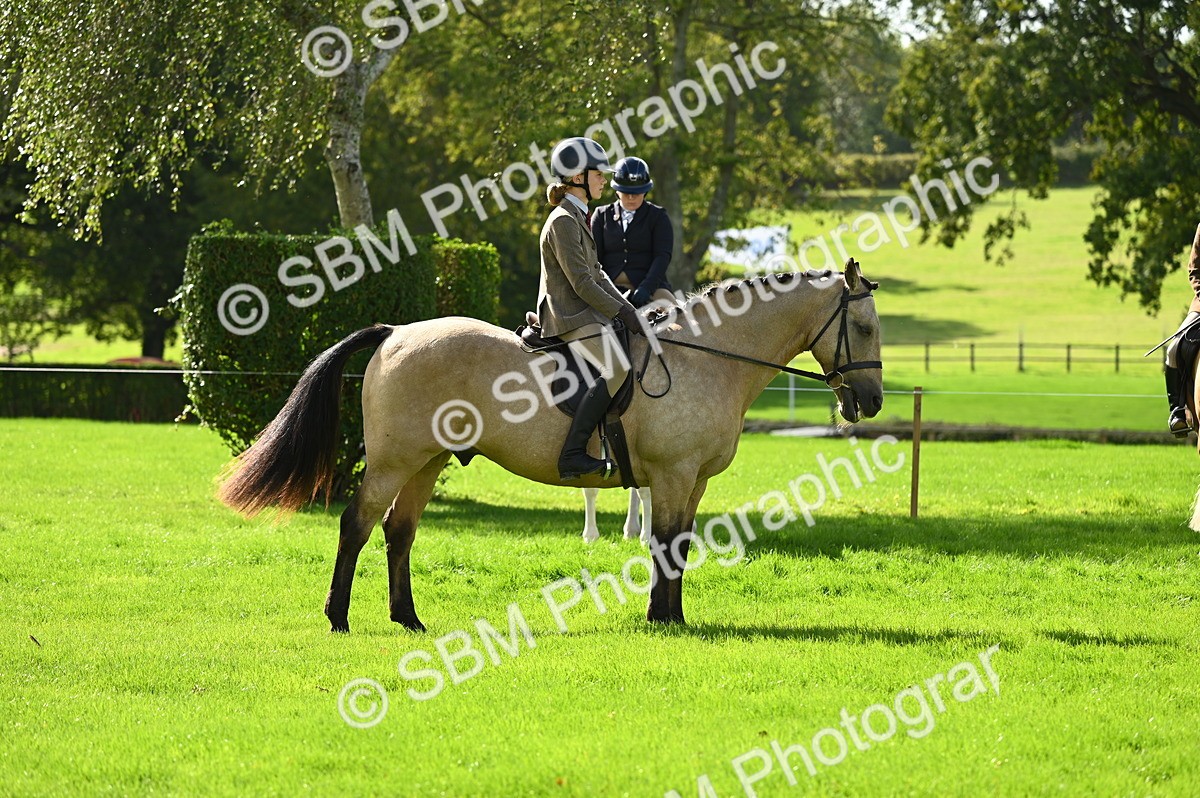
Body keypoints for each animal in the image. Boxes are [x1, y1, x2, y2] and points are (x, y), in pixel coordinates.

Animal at [216, 260, 885, 631]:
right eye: (864, 326)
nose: (872, 402)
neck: (707, 358)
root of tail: (396, 332)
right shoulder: (672, 474)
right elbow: (666, 542)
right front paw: (663, 619)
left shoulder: (692, 480)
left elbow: (678, 544)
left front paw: (670, 614)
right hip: (393, 460)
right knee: (356, 525)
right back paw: (339, 617)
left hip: (427, 462)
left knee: (398, 532)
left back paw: (408, 619)